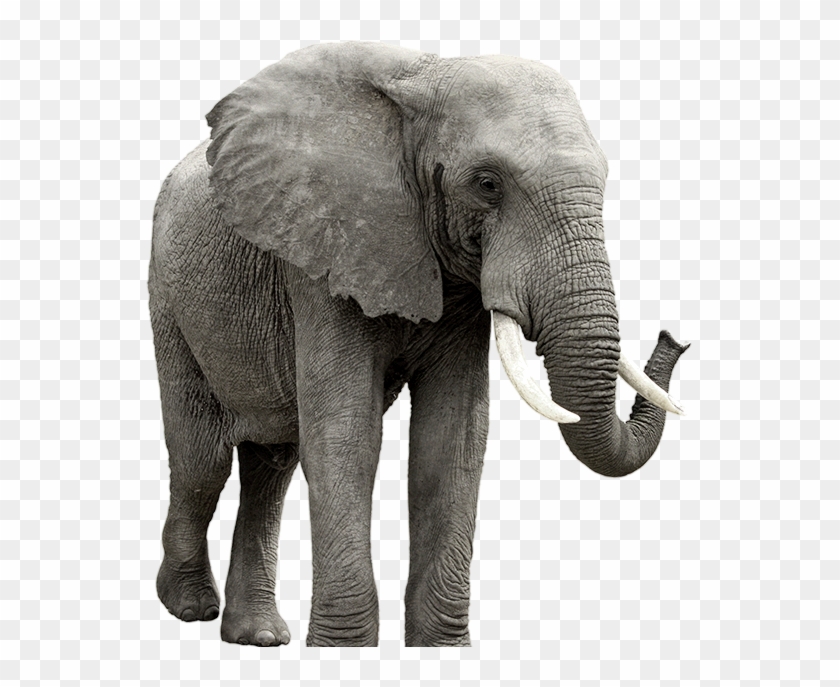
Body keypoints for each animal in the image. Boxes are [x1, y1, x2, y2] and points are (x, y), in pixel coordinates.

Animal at [149, 41, 688, 647]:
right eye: (487, 184)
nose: (672, 338)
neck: (421, 80)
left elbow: (451, 440)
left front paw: (440, 649)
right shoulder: (324, 253)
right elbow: (346, 436)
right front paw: (343, 651)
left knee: (272, 462)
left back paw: (258, 636)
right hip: (170, 302)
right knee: (202, 459)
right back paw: (189, 606)